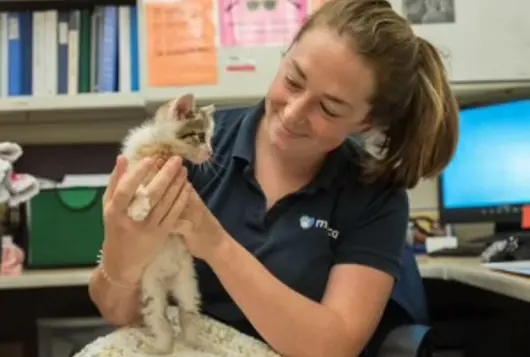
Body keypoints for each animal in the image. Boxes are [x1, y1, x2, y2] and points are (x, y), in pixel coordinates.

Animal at [120, 94, 214, 354]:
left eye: (211, 138)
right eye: (200, 136)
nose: (211, 152)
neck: (161, 148)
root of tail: (168, 277)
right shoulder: (128, 172)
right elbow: (134, 188)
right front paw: (138, 207)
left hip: (187, 282)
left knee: (188, 312)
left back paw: (194, 343)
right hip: (150, 290)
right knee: (158, 318)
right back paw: (161, 347)